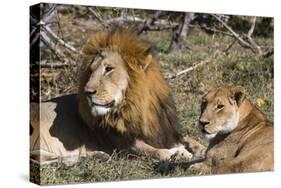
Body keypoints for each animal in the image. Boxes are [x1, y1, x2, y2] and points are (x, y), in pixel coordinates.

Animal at [30, 30, 203, 164]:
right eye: (91, 70)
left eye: (109, 69)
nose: (87, 92)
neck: (138, 107)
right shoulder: (123, 145)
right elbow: (155, 151)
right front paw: (176, 153)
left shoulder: (165, 132)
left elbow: (188, 139)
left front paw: (199, 148)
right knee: (41, 158)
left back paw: (95, 156)